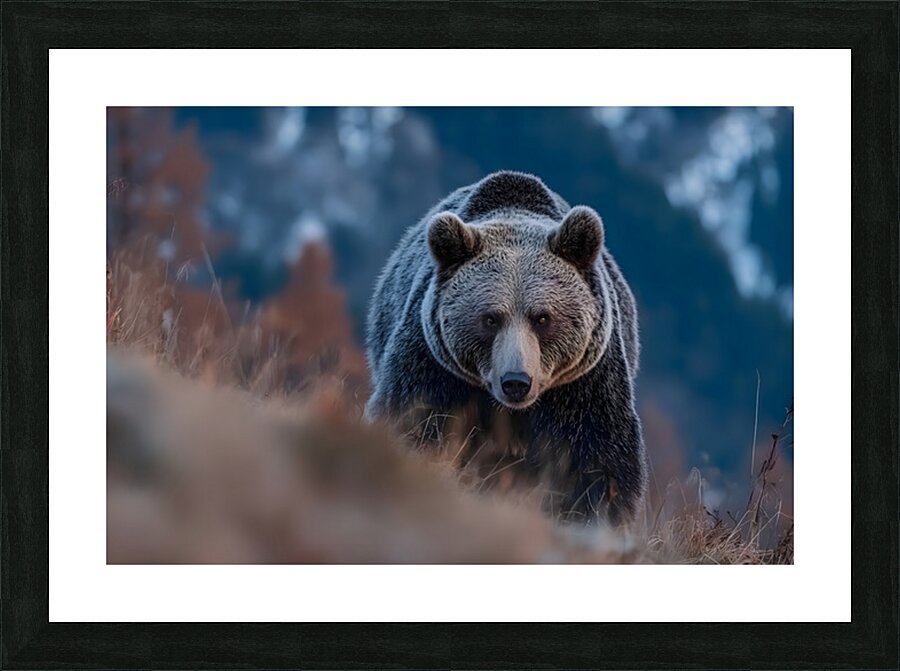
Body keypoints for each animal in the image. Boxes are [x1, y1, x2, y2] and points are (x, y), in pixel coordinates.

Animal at [365, 170, 646, 525]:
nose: (516, 381)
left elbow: (596, 461)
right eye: (490, 318)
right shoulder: (434, 366)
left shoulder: (585, 385)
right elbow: (414, 421)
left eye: (542, 317)